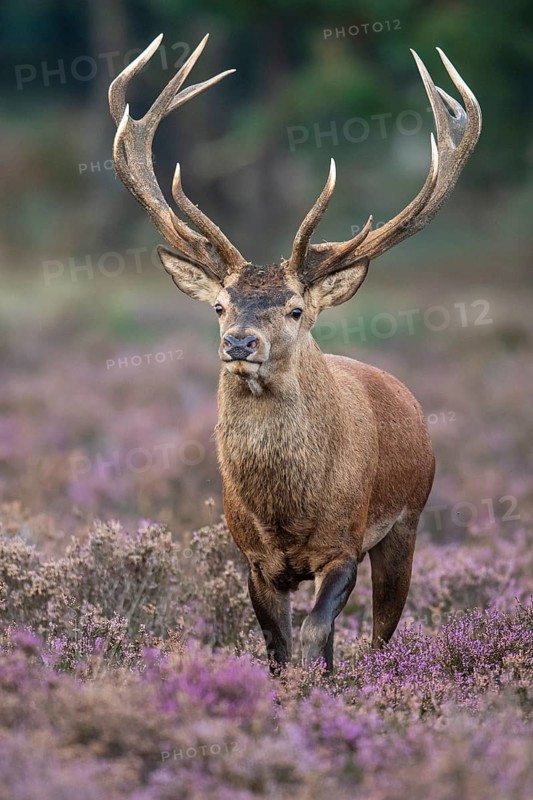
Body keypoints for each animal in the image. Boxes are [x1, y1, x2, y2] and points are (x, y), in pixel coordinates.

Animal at [109, 34, 481, 672]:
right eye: (219, 306)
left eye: (296, 309)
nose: (239, 342)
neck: (285, 513)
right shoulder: (255, 560)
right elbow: (279, 646)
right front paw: (288, 688)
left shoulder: (345, 544)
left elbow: (315, 635)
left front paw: (321, 685)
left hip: (407, 521)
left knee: (383, 632)